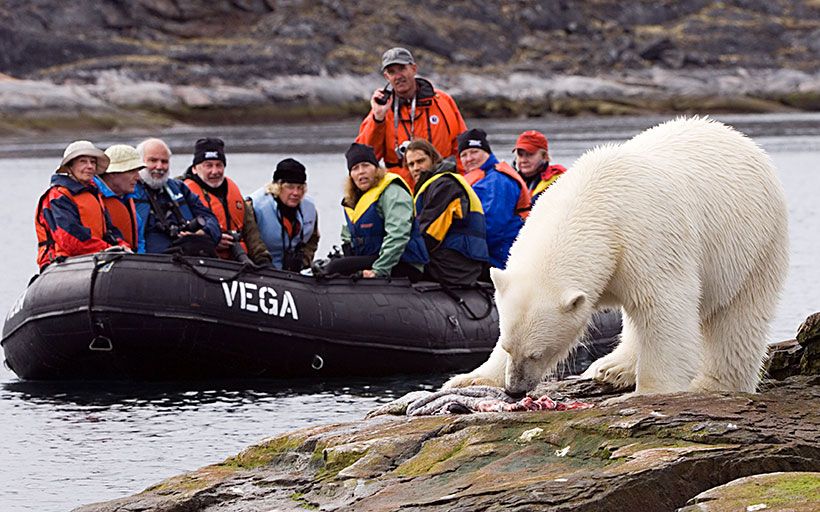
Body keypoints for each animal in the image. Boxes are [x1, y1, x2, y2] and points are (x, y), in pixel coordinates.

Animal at [446, 116, 792, 396]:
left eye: (538, 353)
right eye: (507, 346)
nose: (515, 389)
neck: (591, 202)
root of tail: (741, 139)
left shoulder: (649, 237)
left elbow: (665, 306)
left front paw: (653, 390)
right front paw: (468, 378)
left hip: (756, 243)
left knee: (738, 317)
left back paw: (712, 384)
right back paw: (611, 368)